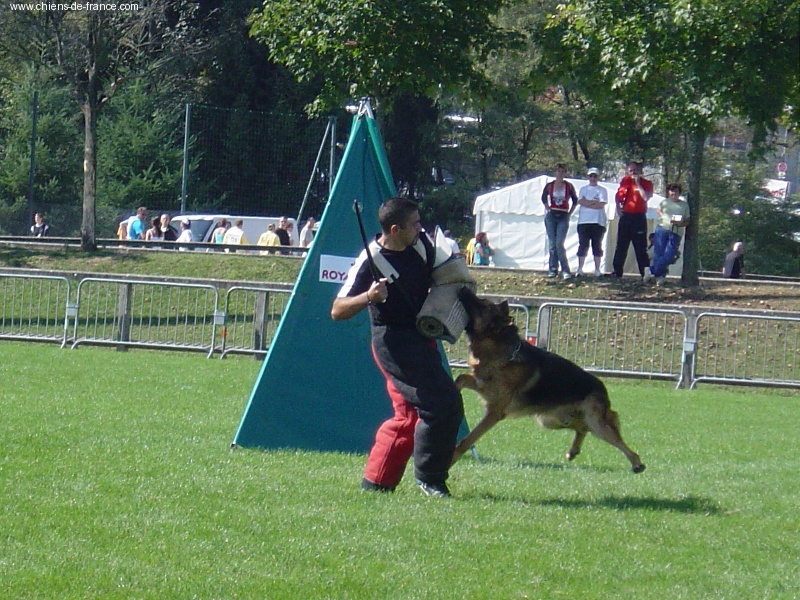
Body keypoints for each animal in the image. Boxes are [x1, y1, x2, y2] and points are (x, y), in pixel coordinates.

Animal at [454, 288, 648, 474]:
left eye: (482, 305)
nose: (463, 288)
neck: (499, 348)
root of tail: (602, 387)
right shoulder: (481, 385)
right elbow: (460, 378)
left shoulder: (494, 412)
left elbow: (467, 440)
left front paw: (453, 457)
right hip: (550, 420)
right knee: (582, 428)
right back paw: (573, 451)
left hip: (595, 423)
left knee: (617, 441)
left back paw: (637, 464)